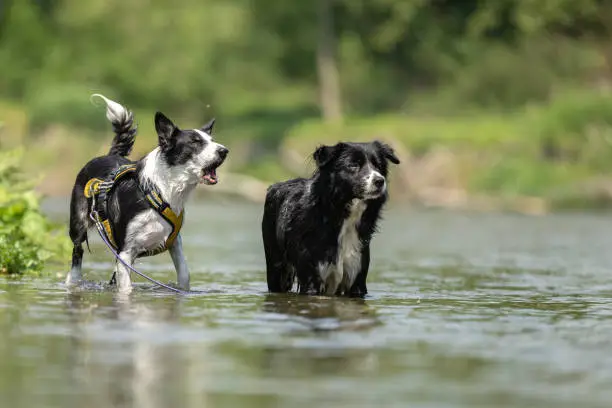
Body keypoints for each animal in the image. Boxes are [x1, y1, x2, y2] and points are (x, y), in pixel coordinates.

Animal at [67, 95, 228, 294]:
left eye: (212, 140)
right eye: (195, 142)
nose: (224, 150)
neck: (161, 192)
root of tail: (106, 155)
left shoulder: (175, 243)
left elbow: (184, 274)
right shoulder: (126, 252)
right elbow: (126, 289)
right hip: (78, 224)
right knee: (77, 252)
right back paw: (72, 281)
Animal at [260, 140, 400, 296]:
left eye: (378, 166)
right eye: (353, 165)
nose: (379, 180)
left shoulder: (357, 278)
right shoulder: (312, 278)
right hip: (276, 265)